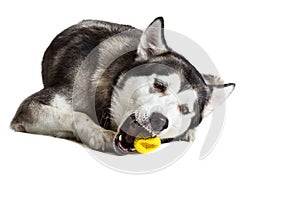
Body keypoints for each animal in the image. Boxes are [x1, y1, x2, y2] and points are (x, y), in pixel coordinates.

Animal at [9, 17, 236, 155]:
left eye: (185, 109)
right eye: (159, 85)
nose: (159, 121)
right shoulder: (30, 108)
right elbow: (77, 116)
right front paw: (98, 134)